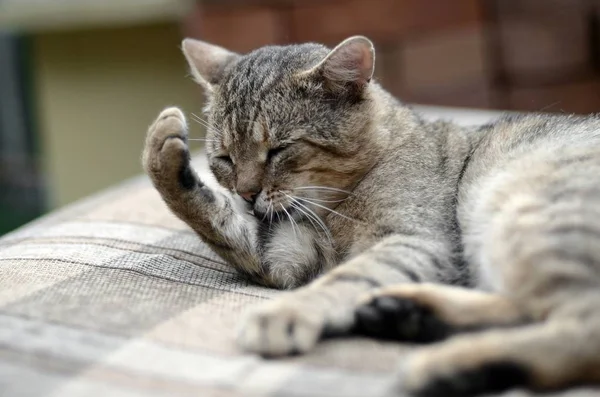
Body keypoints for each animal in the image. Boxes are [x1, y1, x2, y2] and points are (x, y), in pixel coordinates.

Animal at [143, 35, 600, 394]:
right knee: (529, 310)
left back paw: (445, 363)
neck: (334, 209)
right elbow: (217, 220)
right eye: (224, 159)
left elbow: (346, 277)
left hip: (530, 215)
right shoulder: (285, 252)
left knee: (578, 329)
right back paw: (409, 315)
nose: (246, 194)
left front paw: (286, 312)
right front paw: (160, 153)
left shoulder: (416, 239)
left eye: (278, 149)